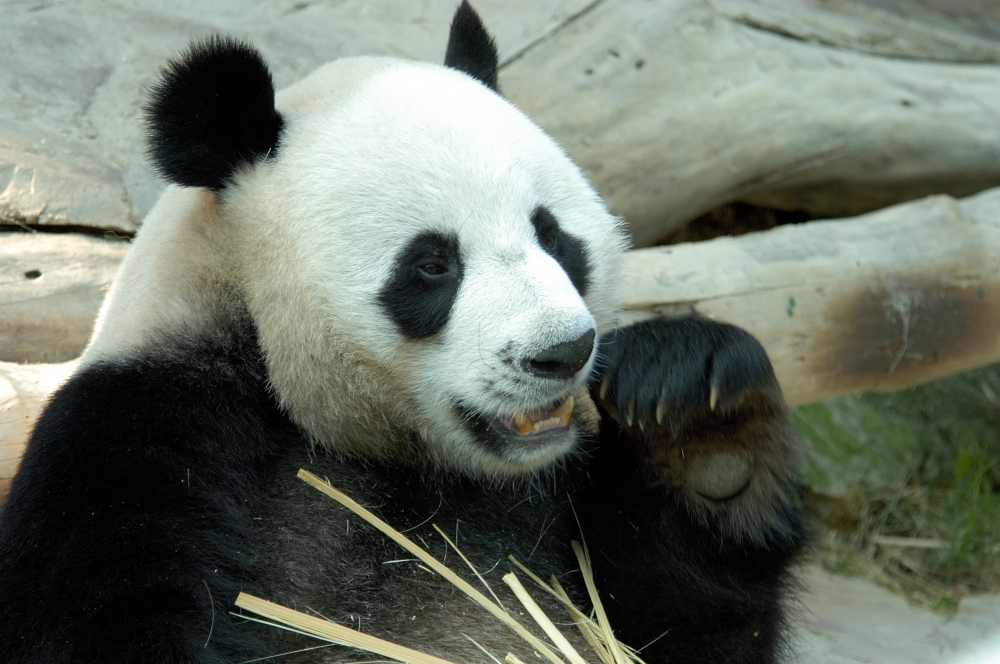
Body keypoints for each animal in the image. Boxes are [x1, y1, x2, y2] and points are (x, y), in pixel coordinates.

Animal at [0, 5, 804, 664]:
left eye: (552, 235)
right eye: (432, 264)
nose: (563, 352)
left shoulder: (555, 495)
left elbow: (673, 630)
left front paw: (699, 423)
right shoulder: (140, 435)